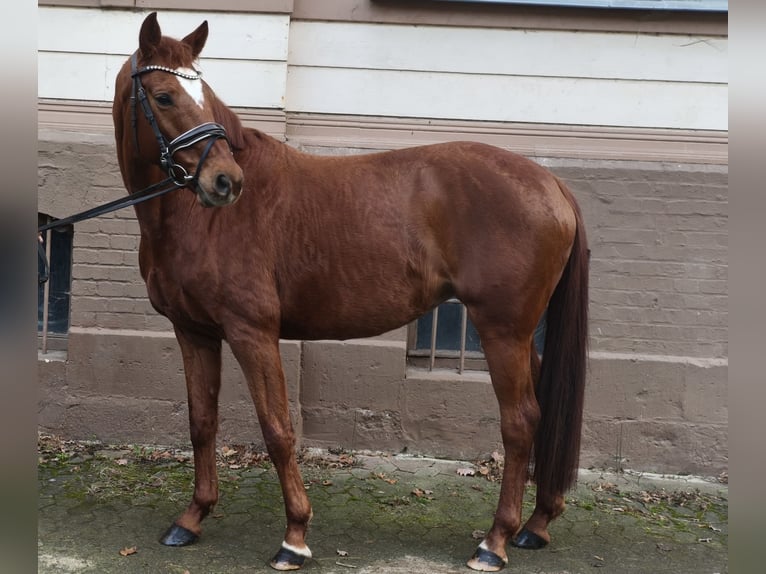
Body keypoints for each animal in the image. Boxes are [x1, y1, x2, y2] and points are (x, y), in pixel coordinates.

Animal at [111, 12, 589, 572]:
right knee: (543, 412)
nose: (226, 181)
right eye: (165, 96)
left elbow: (277, 429)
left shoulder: (252, 333)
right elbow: (201, 422)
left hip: (502, 332)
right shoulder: (195, 332)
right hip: (518, 335)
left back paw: (494, 541)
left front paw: (294, 536)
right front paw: (191, 519)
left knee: (520, 421)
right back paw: (536, 524)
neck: (195, 220)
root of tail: (551, 184)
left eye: (203, 93)